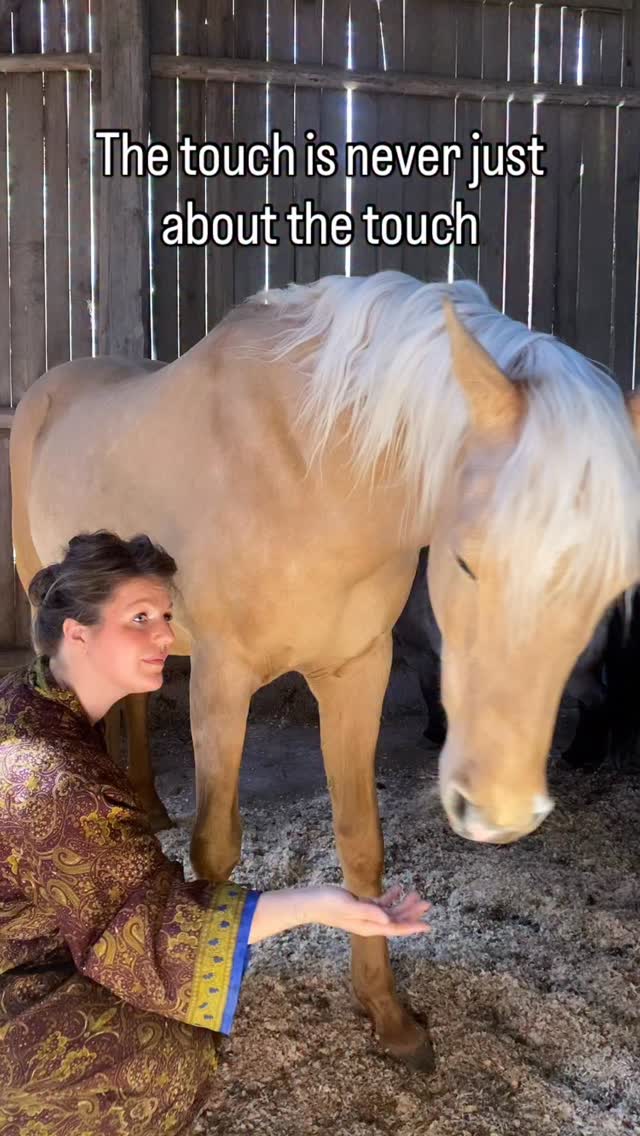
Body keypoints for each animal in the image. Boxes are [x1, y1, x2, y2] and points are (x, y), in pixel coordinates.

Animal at [10, 271, 640, 1069]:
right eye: (466, 560)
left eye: (612, 583)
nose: (501, 813)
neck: (310, 473)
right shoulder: (223, 679)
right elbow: (216, 850)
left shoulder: (357, 671)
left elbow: (361, 843)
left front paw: (389, 1017)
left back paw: (147, 802)